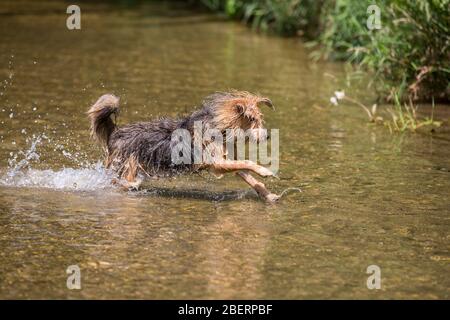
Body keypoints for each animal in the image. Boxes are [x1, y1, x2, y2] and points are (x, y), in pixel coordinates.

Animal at [86, 90, 280, 202]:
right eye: (252, 120)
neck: (220, 126)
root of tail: (116, 132)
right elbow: (247, 163)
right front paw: (265, 171)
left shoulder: (224, 159)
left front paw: (268, 194)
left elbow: (247, 175)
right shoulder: (217, 163)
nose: (268, 135)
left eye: (259, 119)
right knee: (119, 182)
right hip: (127, 166)